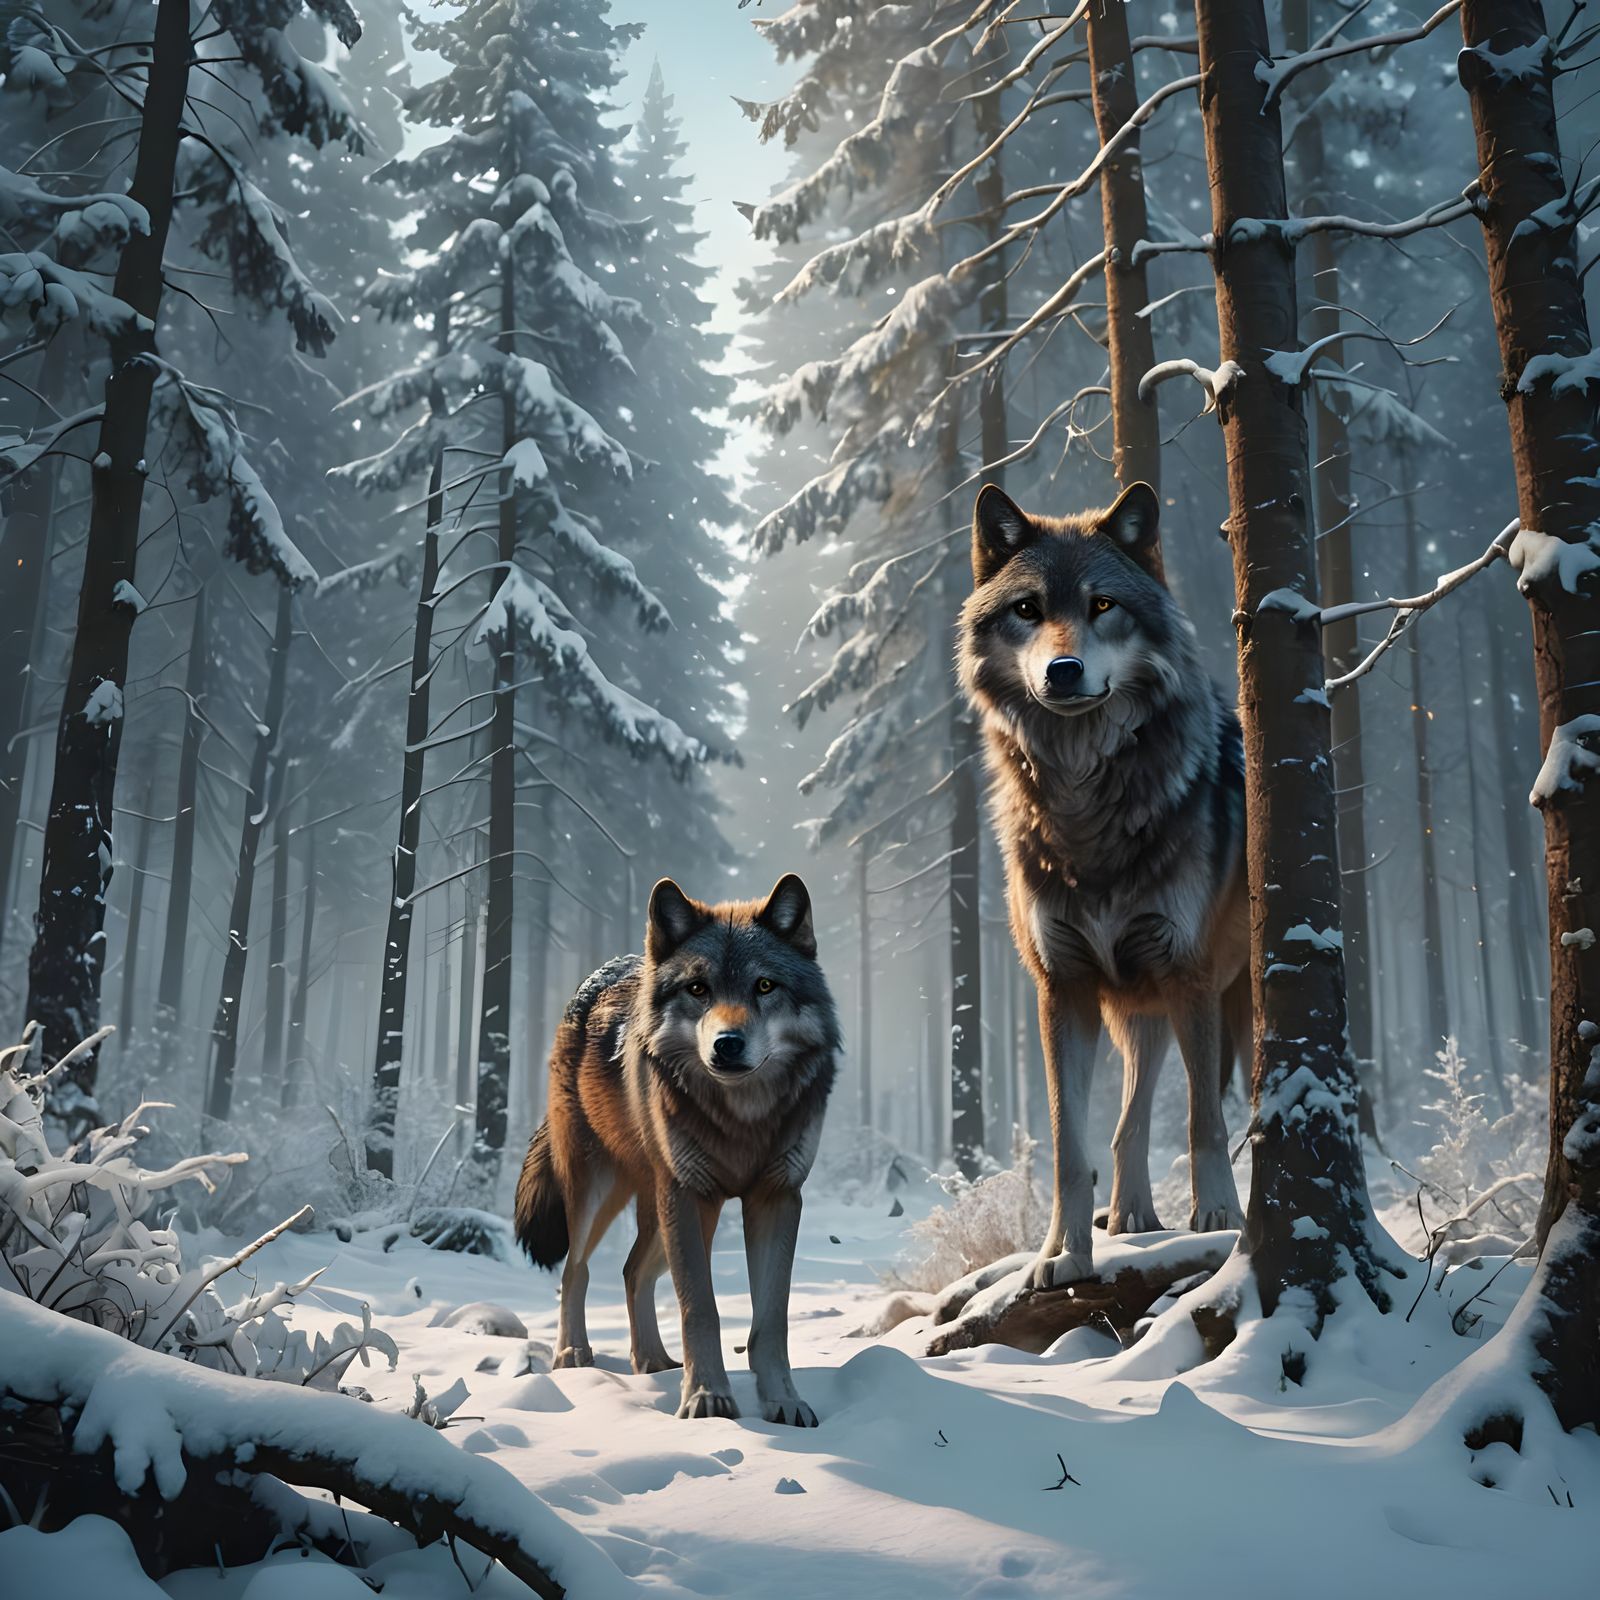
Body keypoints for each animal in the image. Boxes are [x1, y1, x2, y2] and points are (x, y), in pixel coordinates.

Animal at [514, 874, 839, 1425]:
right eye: (698, 989)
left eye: (765, 986)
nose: (727, 1044)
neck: (742, 1117)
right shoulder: (689, 1194)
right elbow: (699, 1308)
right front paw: (707, 1399)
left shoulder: (776, 1198)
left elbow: (771, 1319)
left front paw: (783, 1400)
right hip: (605, 1195)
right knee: (575, 1268)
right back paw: (574, 1355)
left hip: (666, 1215)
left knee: (631, 1271)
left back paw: (651, 1360)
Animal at [958, 480, 1249, 1291]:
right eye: (1028, 609)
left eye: (1103, 605)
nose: (1063, 671)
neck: (1085, 804)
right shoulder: (1063, 989)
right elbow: (1069, 1147)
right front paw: (1061, 1256)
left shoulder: (1189, 973)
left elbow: (1204, 1122)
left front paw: (1218, 1221)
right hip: (1134, 1010)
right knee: (1127, 1124)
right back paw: (1130, 1220)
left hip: (1231, 1000)